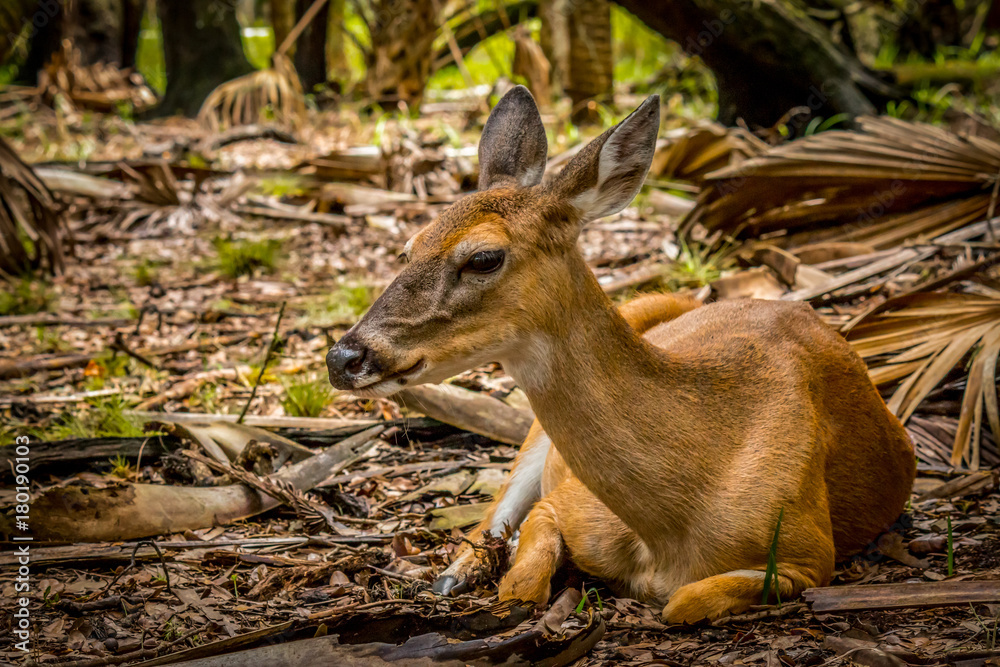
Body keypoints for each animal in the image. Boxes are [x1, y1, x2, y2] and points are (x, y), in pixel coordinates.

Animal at [327, 86, 916, 623]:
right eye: (409, 247)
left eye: (484, 258)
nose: (343, 357)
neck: (670, 527)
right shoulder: (563, 503)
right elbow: (521, 583)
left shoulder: (809, 553)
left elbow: (682, 602)